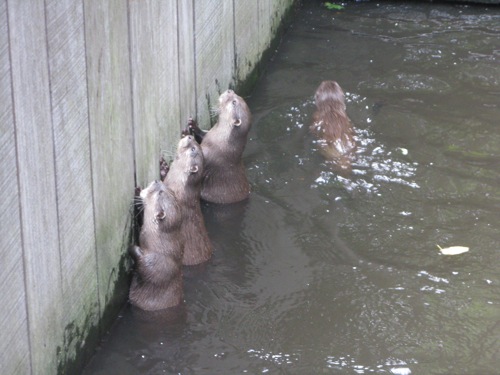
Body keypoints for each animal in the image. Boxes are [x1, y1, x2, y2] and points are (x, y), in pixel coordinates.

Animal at [129, 181, 184, 312]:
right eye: (170, 189)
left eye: (160, 192)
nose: (157, 181)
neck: (161, 247)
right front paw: (137, 192)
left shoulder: (156, 265)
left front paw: (133, 248)